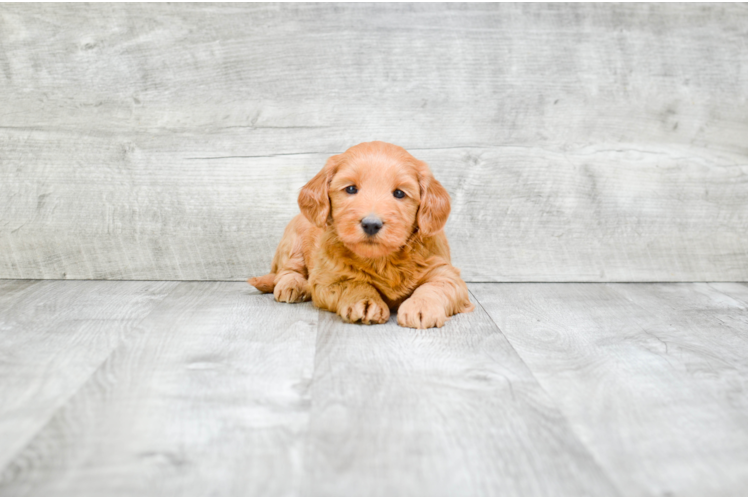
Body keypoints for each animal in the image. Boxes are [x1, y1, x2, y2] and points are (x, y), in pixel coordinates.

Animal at [247, 141, 474, 328]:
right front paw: (365, 301)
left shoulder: (444, 271)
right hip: (294, 238)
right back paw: (293, 285)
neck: (383, 260)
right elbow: (353, 282)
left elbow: (435, 286)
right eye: (351, 189)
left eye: (399, 193)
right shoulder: (328, 278)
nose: (371, 224)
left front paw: (421, 307)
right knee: (287, 270)